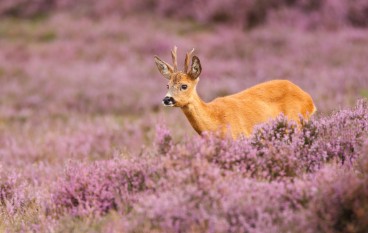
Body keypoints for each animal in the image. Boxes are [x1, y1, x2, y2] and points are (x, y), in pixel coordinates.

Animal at [155, 46, 316, 139]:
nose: (167, 99)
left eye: (184, 85)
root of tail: (309, 100)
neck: (215, 122)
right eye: (167, 85)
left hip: (295, 123)